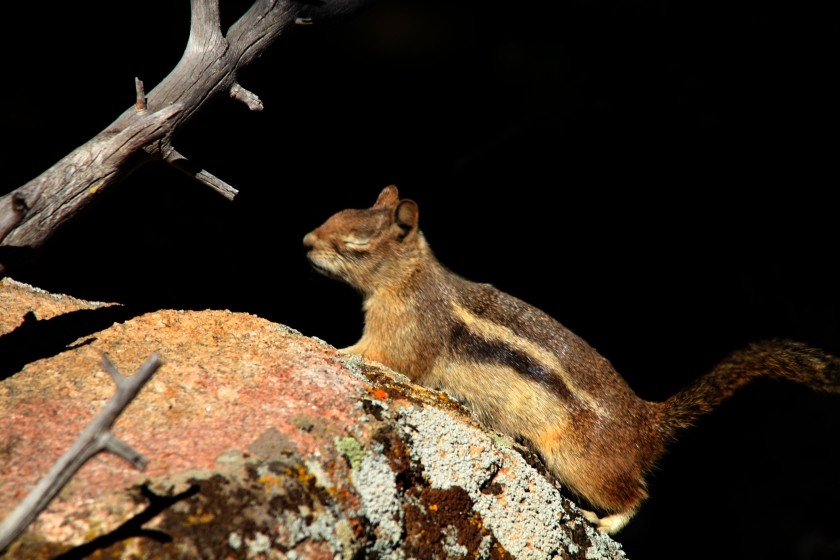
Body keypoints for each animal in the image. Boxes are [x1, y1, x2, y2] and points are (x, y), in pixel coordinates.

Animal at [304, 184, 840, 532]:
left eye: (355, 243)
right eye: (336, 214)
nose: (306, 242)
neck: (412, 279)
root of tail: (647, 421)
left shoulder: (405, 335)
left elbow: (375, 355)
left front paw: (326, 344)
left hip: (577, 460)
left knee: (636, 494)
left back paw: (603, 521)